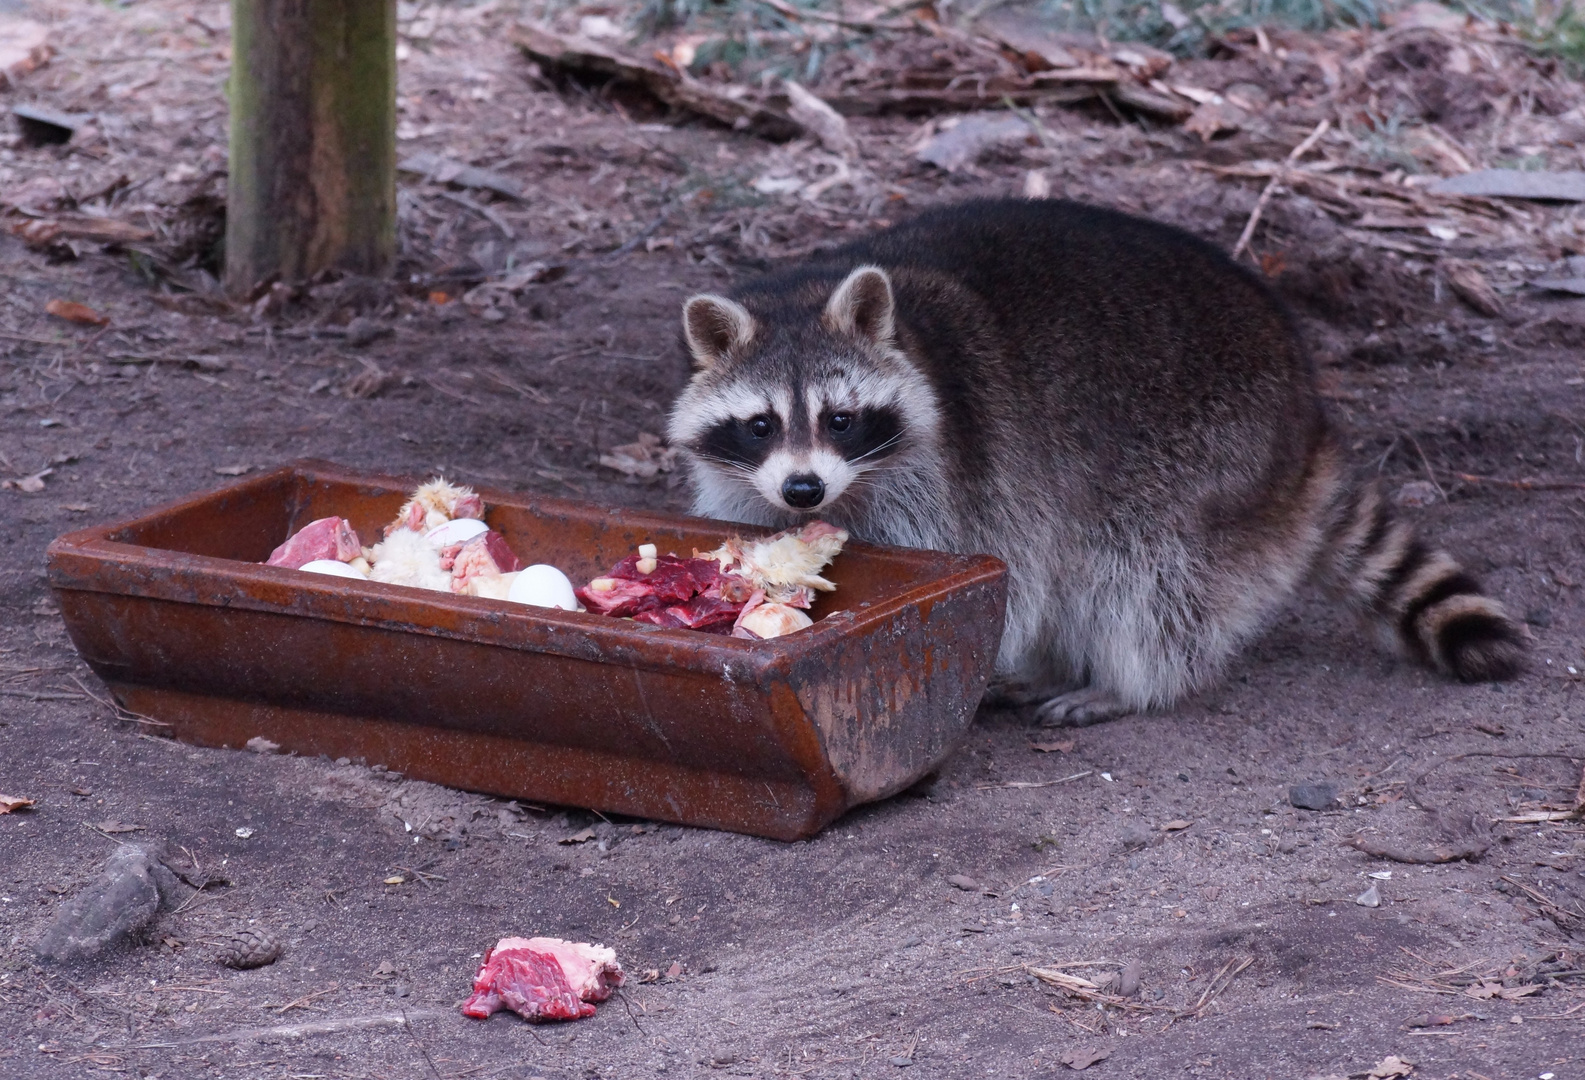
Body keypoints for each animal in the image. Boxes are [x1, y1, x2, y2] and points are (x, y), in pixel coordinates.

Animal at [665, 202, 1521, 723]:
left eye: (840, 421)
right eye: (760, 425)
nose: (804, 488)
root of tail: (1304, 419)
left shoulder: (958, 471)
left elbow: (990, 579)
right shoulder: (746, 484)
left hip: (1203, 450)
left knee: (1139, 574)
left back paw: (1125, 682)